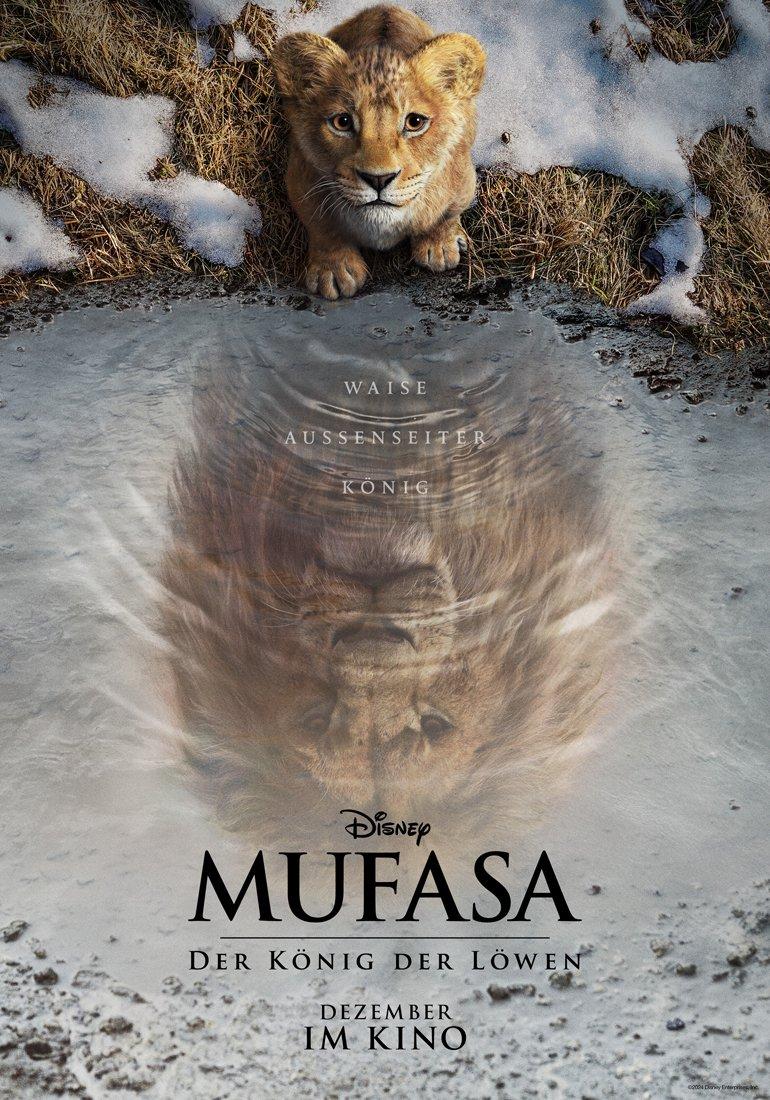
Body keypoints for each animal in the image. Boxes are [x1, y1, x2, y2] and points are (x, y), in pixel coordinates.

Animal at [271, 5, 486, 300]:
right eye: (342, 122)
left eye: (415, 122)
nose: (378, 179)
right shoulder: (300, 178)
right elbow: (323, 226)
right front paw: (333, 270)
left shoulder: (462, 178)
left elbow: (445, 214)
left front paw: (440, 247)